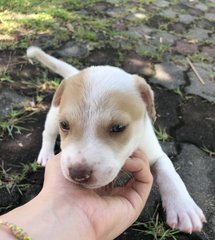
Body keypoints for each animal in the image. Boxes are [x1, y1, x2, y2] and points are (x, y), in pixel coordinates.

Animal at [26, 46, 205, 232]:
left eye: (118, 127)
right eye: (65, 125)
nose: (78, 174)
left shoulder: (155, 153)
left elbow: (169, 172)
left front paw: (183, 207)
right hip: (53, 116)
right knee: (47, 134)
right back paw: (46, 154)